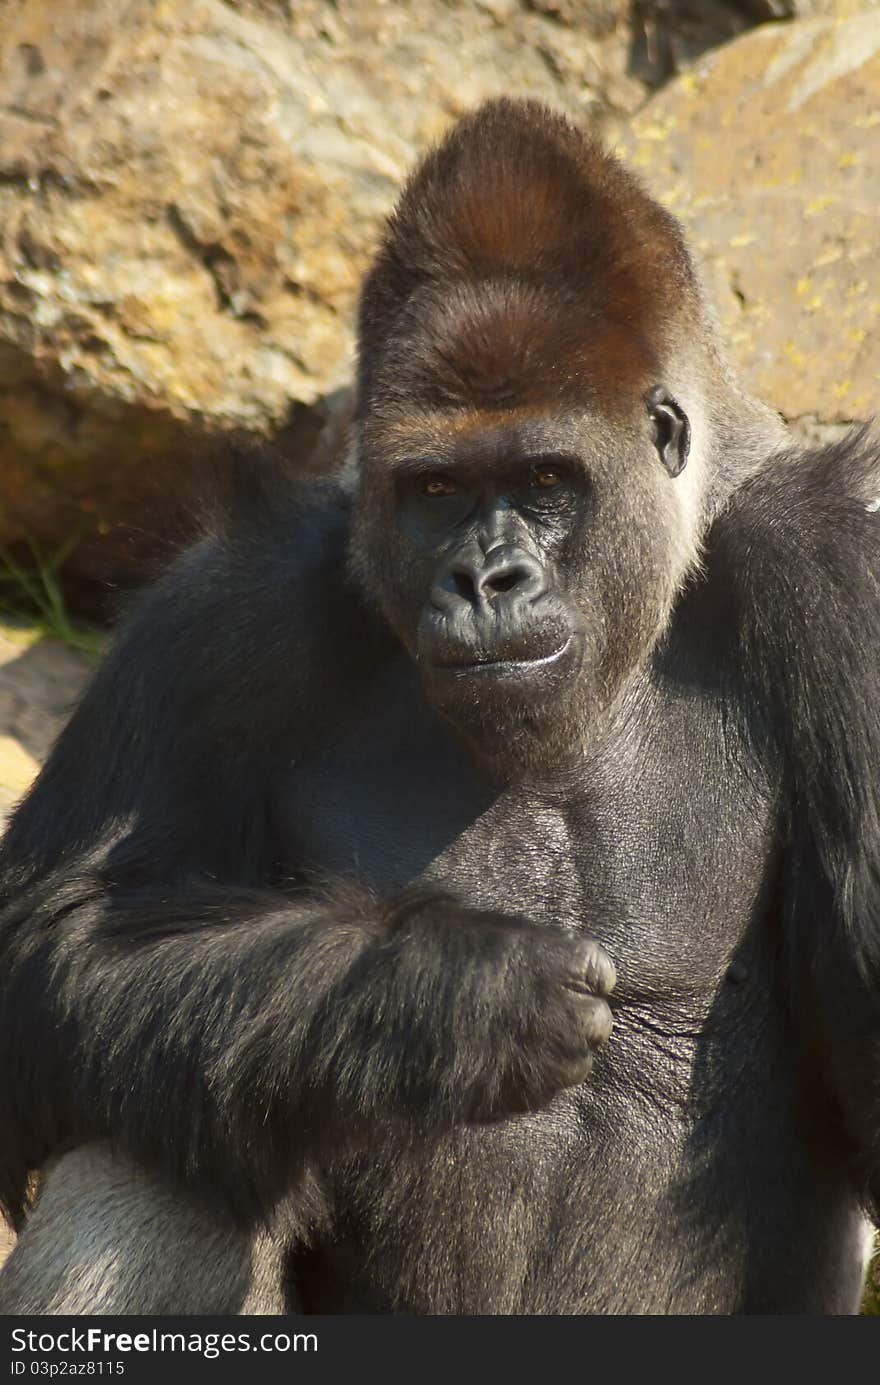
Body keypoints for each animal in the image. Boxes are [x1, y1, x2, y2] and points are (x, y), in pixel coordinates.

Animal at [1, 100, 880, 1318]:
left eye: (548, 480)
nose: (484, 580)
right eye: (435, 490)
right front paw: (438, 996)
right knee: (155, 1132)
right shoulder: (230, 605)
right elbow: (55, 943)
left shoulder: (839, 574)